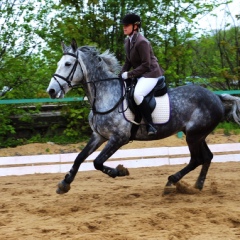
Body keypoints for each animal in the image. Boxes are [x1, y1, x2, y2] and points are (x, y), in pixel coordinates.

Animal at [46, 38, 240, 194]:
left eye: (68, 64)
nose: (52, 91)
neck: (105, 94)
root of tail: (216, 97)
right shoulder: (99, 136)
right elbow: (80, 157)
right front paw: (64, 183)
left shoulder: (119, 138)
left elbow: (97, 162)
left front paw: (120, 171)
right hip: (196, 134)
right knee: (207, 157)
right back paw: (197, 186)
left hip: (193, 135)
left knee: (197, 159)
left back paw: (172, 182)